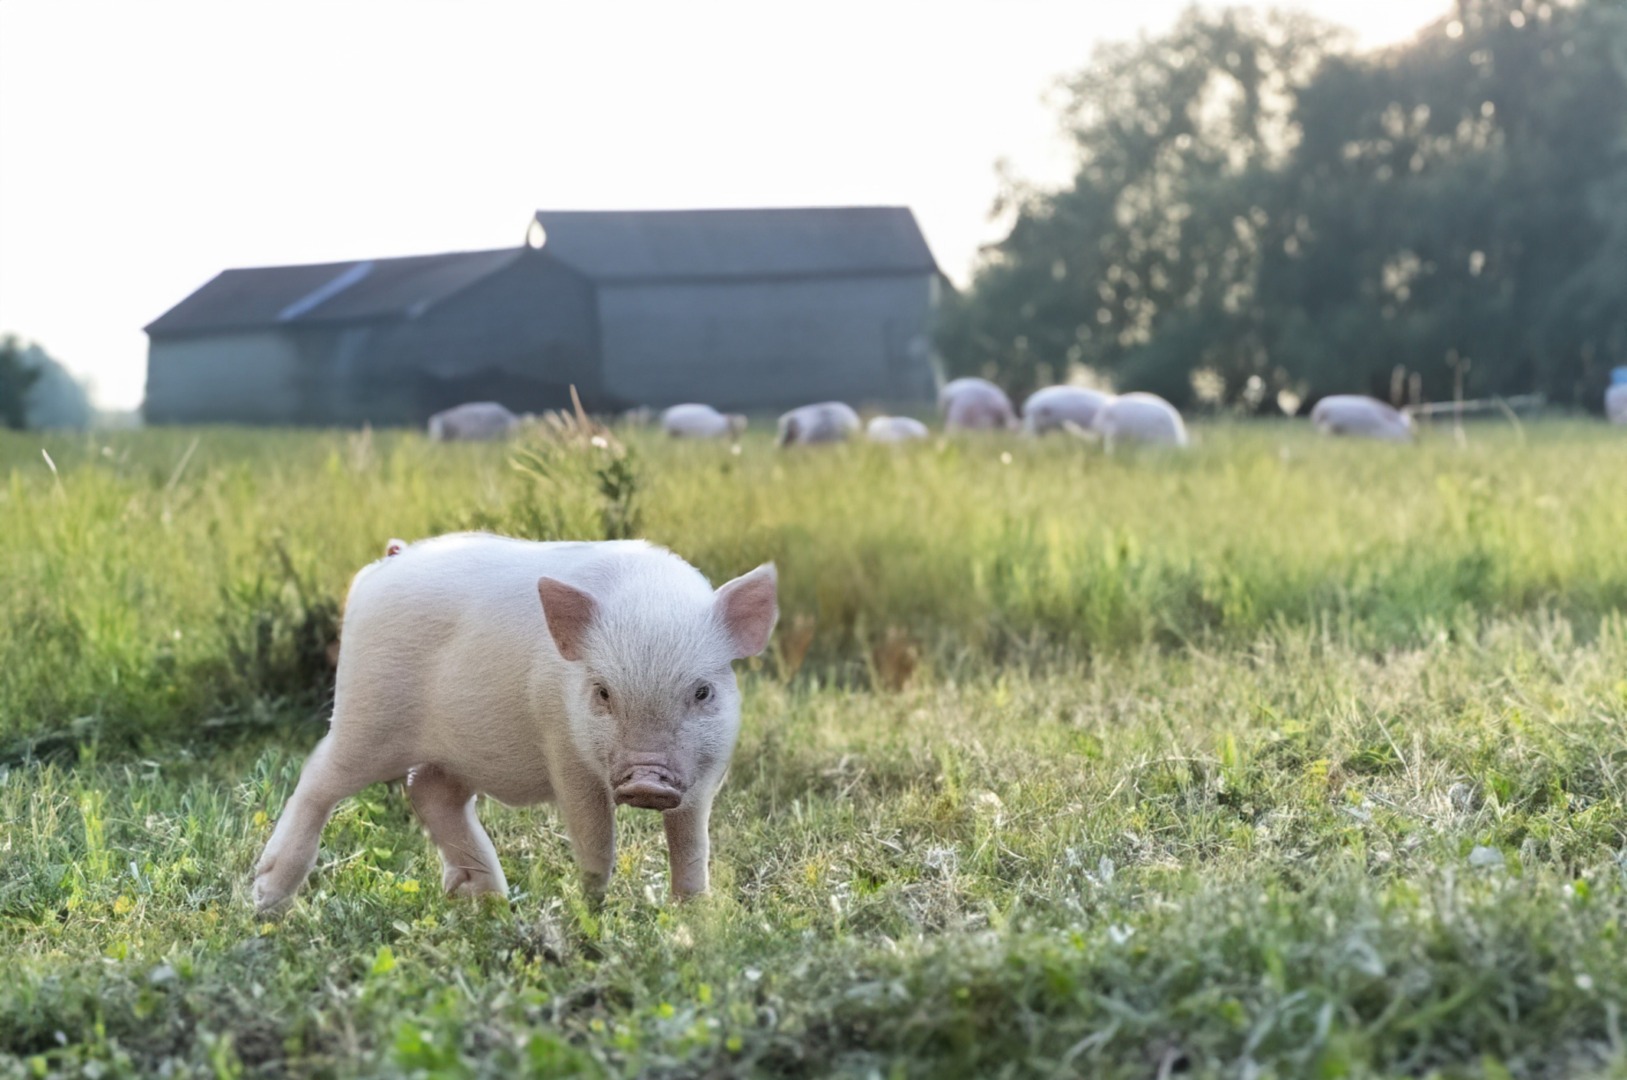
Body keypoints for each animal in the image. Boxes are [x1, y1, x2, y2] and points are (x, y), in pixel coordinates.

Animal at [250, 530, 777, 910]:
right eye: (603, 692)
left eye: (702, 692)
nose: (647, 780)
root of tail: (388, 562)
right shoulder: (564, 749)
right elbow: (595, 839)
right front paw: (592, 907)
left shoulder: (705, 771)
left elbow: (691, 844)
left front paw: (694, 912)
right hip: (365, 715)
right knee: (318, 778)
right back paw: (265, 900)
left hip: (447, 751)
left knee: (428, 791)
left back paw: (485, 899)